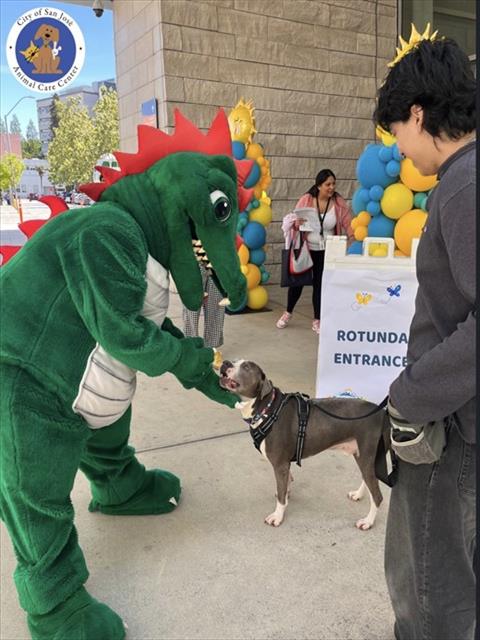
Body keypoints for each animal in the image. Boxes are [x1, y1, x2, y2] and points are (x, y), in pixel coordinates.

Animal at [219, 359, 389, 530]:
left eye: (246, 367)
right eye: (234, 361)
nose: (225, 362)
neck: (267, 409)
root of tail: (383, 414)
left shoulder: (280, 465)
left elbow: (281, 496)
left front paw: (277, 516)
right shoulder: (285, 465)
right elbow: (285, 486)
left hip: (367, 455)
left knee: (377, 495)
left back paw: (367, 521)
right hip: (363, 456)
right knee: (369, 480)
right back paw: (358, 494)